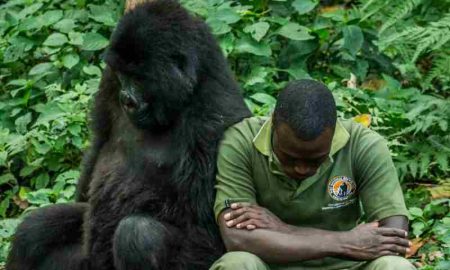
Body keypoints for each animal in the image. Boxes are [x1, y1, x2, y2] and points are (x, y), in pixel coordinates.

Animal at [7, 1, 251, 268]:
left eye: (140, 77)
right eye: (123, 75)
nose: (127, 99)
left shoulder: (215, 118)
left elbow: (204, 230)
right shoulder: (109, 78)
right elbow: (98, 143)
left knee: (137, 234)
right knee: (35, 228)